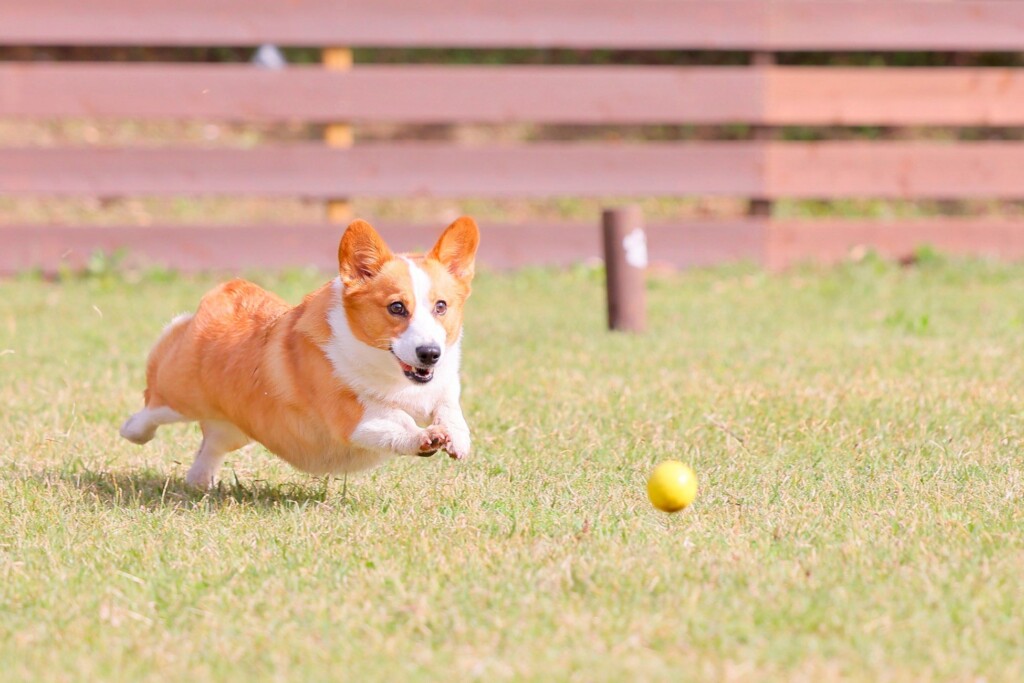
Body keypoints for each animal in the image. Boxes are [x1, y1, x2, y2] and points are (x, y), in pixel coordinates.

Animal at [118, 216, 479, 489]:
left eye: (441, 306)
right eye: (397, 307)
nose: (430, 353)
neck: (394, 377)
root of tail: (227, 291)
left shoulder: (443, 387)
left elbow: (449, 407)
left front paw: (457, 440)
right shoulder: (353, 417)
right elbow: (398, 420)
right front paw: (425, 436)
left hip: (234, 430)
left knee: (211, 446)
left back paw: (199, 482)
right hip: (179, 395)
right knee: (152, 405)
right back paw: (133, 430)